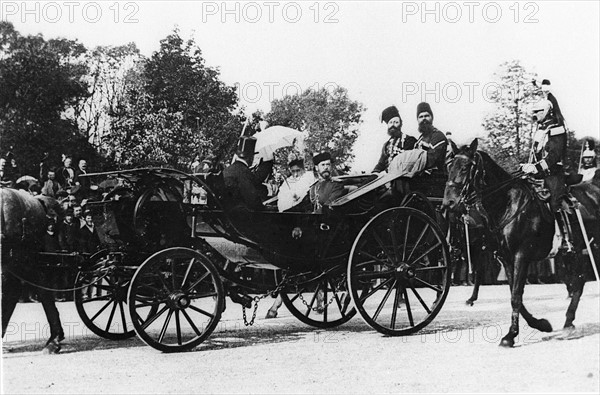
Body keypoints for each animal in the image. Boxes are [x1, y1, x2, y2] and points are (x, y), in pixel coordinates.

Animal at [442, 141, 596, 348]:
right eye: (449, 166)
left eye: (466, 167)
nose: (448, 203)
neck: (506, 204)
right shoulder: (506, 259)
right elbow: (515, 296)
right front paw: (541, 324)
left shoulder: (521, 256)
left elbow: (516, 295)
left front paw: (510, 335)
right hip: (572, 253)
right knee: (578, 281)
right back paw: (568, 321)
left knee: (578, 280)